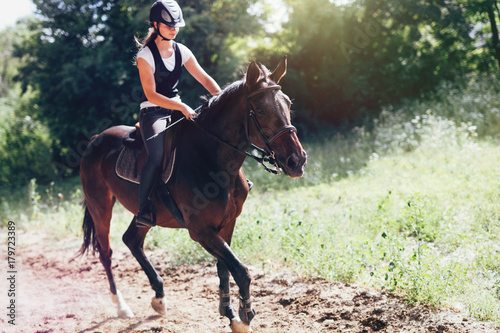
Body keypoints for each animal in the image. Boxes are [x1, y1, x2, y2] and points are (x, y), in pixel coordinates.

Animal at [79, 55, 304, 330]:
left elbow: (224, 269)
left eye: (288, 104)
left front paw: (229, 312)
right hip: (100, 205)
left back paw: (159, 298)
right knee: (106, 252)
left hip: (144, 214)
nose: (297, 161)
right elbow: (240, 270)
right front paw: (244, 315)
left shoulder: (227, 224)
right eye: (260, 110)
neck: (213, 158)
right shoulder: (201, 231)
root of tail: (95, 139)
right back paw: (121, 306)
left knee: (131, 239)